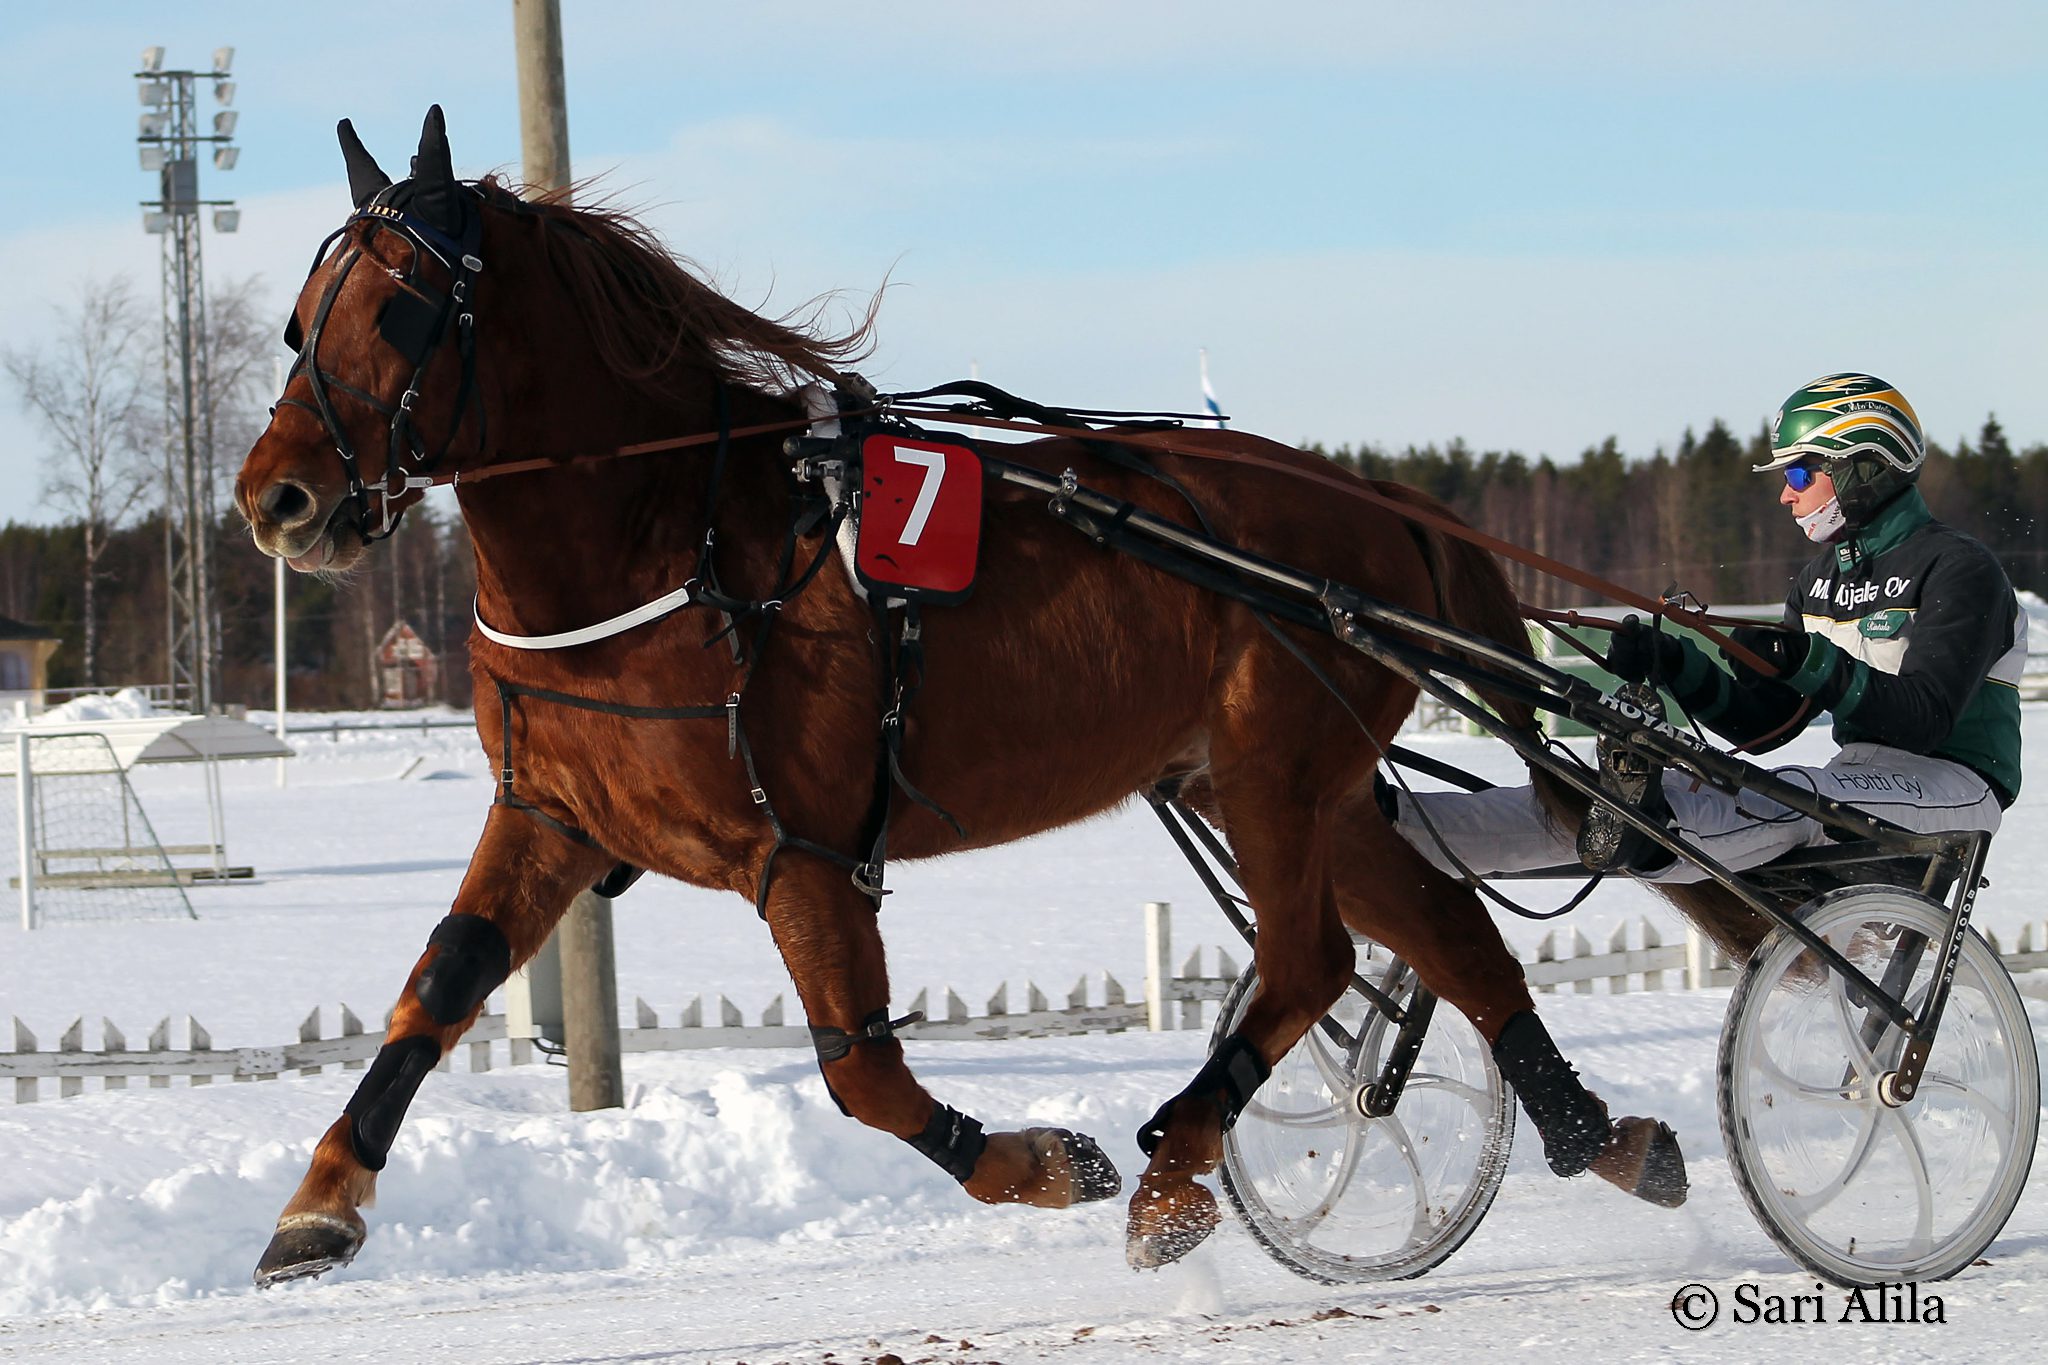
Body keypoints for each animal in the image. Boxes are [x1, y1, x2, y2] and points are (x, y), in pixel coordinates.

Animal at [237, 107, 1686, 1288]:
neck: (662, 541)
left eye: (404, 308)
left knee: (1310, 958)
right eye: (302, 318)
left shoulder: (802, 847)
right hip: (1289, 783)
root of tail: (1381, 502)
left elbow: (863, 1070)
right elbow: (434, 989)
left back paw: (1171, 1170)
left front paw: (1047, 1161)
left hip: (1274, 767)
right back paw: (1602, 1137)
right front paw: (320, 1202)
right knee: (1446, 928)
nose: (276, 498)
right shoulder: (548, 816)